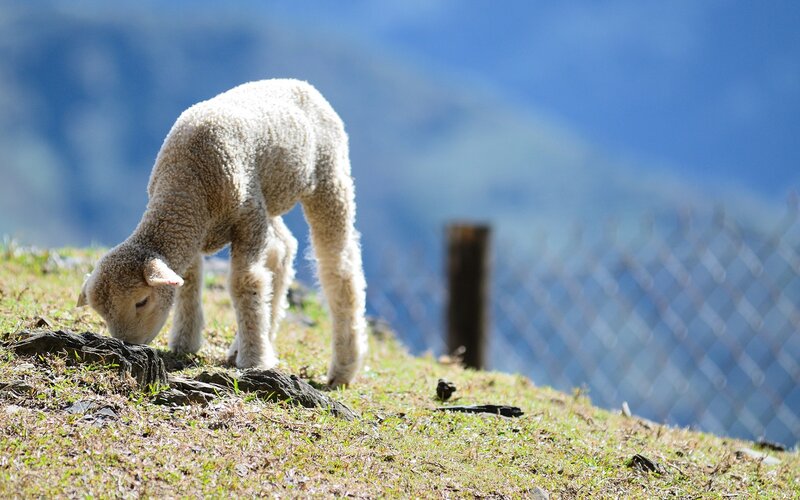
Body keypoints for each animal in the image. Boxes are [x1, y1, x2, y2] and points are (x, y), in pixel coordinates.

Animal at [76, 79, 368, 387]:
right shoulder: (195, 231)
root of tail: (302, 84)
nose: (130, 345)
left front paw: (254, 360)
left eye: (141, 301)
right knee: (283, 249)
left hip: (328, 178)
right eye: (102, 314)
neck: (186, 181)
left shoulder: (247, 219)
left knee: (338, 267)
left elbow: (245, 282)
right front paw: (185, 342)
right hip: (267, 198)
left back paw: (343, 367)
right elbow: (189, 281)